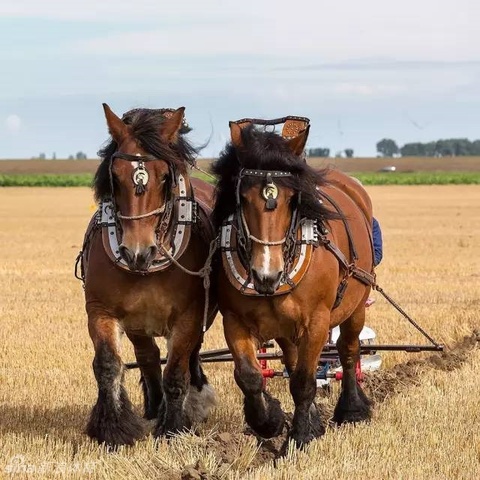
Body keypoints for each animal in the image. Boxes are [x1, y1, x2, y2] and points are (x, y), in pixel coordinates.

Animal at [79, 105, 218, 446]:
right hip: (138, 322)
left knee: (188, 358)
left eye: (165, 176)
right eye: (115, 176)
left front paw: (173, 428)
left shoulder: (189, 316)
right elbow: (108, 365)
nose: (136, 252)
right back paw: (154, 406)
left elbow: (177, 371)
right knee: (148, 356)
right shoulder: (101, 310)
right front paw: (112, 428)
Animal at [213, 118, 376, 448]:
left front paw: (300, 436)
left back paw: (352, 409)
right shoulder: (234, 320)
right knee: (292, 358)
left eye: (292, 199)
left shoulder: (317, 320)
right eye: (243, 198)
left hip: (356, 303)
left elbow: (304, 380)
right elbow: (249, 375)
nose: (266, 274)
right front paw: (269, 421)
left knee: (348, 349)